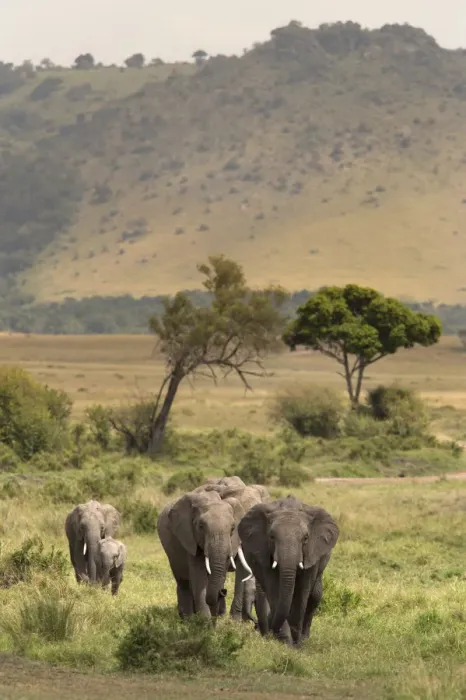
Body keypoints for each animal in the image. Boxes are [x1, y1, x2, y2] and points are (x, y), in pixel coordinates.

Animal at [157, 488, 248, 621]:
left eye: (232, 529)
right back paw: (187, 619)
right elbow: (199, 578)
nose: (223, 591)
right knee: (183, 581)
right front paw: (204, 622)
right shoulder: (190, 537)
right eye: (201, 527)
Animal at [238, 494, 339, 646]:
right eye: (272, 537)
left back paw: (303, 638)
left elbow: (303, 591)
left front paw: (296, 644)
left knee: (314, 596)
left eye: (306, 538)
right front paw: (286, 641)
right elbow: (275, 590)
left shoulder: (312, 551)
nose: (257, 627)